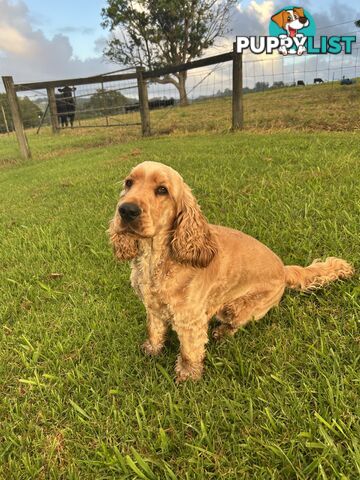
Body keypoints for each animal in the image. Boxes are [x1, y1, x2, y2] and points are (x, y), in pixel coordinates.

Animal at [108, 161, 352, 382]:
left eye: (162, 190)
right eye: (129, 183)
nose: (126, 210)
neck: (155, 258)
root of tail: (283, 269)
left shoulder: (191, 319)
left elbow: (189, 351)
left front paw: (188, 375)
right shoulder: (153, 306)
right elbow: (155, 330)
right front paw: (152, 349)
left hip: (234, 307)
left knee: (238, 324)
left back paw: (222, 332)